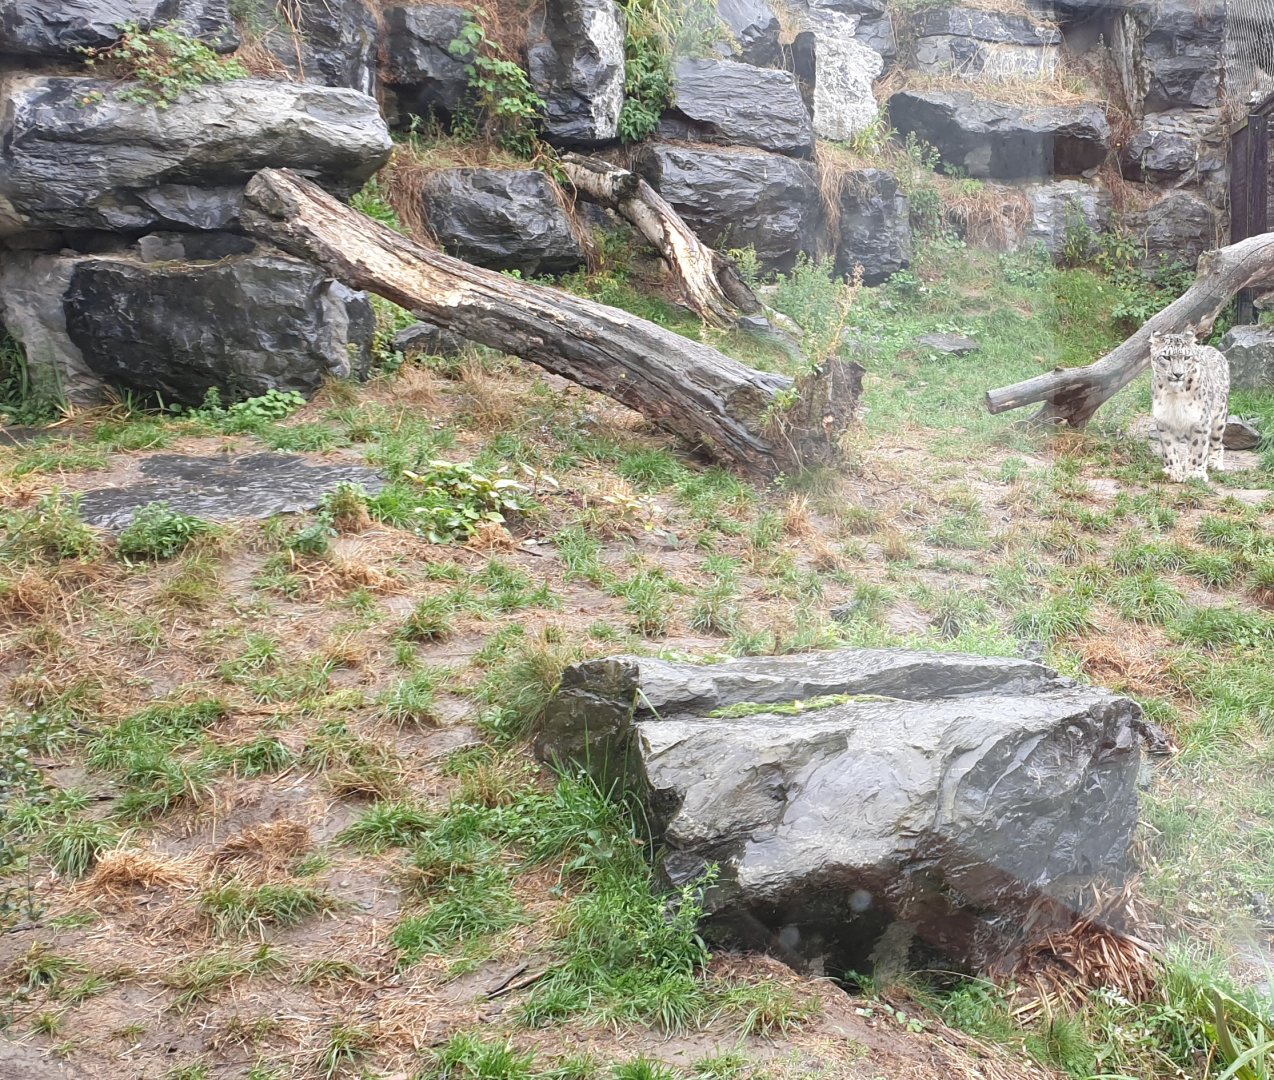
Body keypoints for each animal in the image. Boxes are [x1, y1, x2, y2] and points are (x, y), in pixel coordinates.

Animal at [1148, 326, 1230, 484]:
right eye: (1166, 357)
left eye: (1186, 357)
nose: (1178, 374)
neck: (1174, 394)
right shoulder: (1163, 420)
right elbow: (1169, 448)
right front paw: (1173, 471)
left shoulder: (1200, 421)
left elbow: (1198, 447)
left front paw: (1195, 474)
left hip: (1219, 416)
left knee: (1216, 441)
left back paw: (1214, 462)